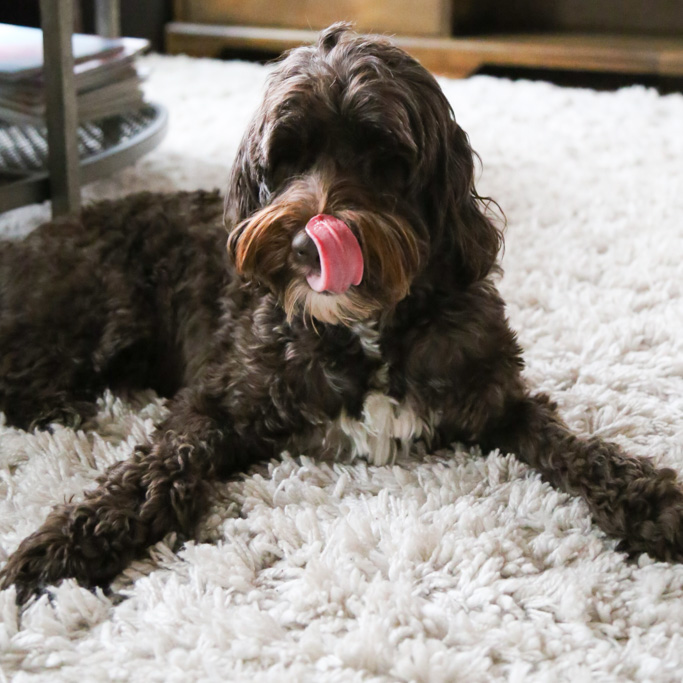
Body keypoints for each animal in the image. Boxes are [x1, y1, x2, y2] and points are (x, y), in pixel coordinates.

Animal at [1, 24, 683, 608]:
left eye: (385, 155)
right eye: (287, 158)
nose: (309, 244)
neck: (366, 327)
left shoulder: (492, 395)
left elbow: (573, 445)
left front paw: (650, 501)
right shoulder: (218, 399)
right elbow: (160, 467)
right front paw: (75, 538)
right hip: (97, 315)